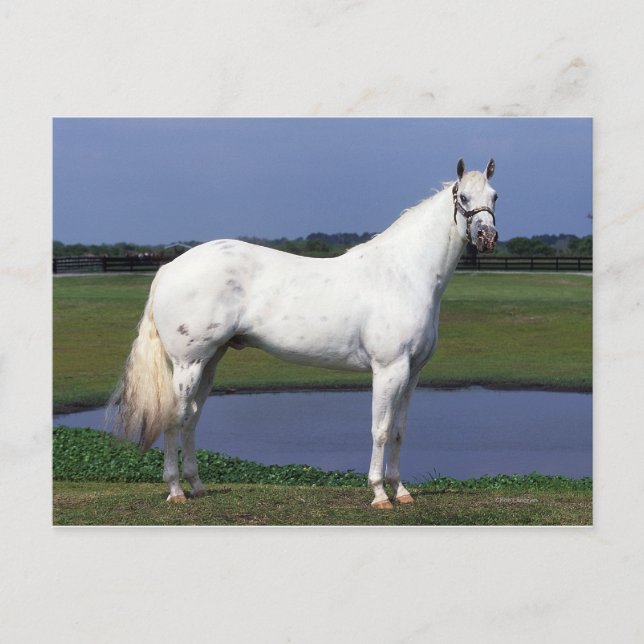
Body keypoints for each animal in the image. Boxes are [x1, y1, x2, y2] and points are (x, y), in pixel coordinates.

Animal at [109, 158, 499, 509]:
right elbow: (381, 429)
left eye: (494, 196)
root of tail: (169, 268)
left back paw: (197, 486)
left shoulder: (413, 372)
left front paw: (401, 491)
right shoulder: (388, 370)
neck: (403, 273)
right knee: (174, 418)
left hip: (210, 361)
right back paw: (176, 490)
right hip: (188, 364)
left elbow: (400, 431)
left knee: (191, 417)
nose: (487, 236)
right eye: (463, 197)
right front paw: (379, 494)